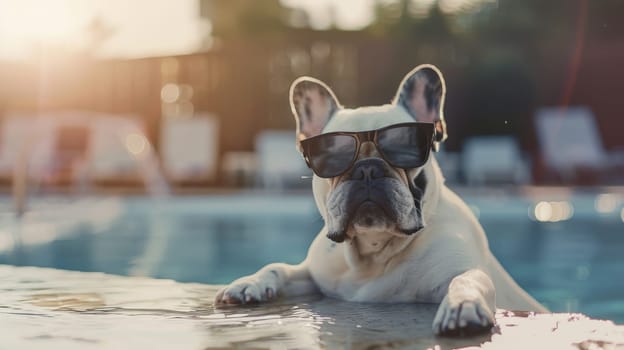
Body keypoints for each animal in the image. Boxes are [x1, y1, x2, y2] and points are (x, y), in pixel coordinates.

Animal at [216, 64, 544, 334]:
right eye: (333, 155)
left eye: (404, 148)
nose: (367, 169)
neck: (372, 253)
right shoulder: (313, 275)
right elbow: (279, 267)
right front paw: (250, 283)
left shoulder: (461, 268)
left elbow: (468, 279)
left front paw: (462, 306)